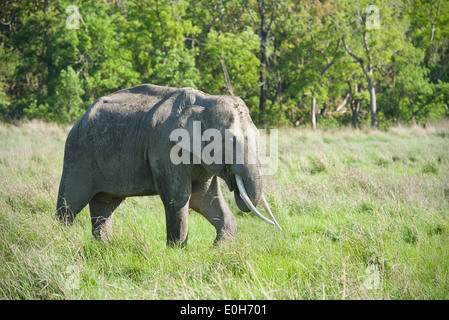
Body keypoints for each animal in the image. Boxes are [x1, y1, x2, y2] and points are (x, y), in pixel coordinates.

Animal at [55, 84, 280, 246]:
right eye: (230, 140)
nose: (234, 180)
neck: (204, 102)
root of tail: (81, 117)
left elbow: (203, 198)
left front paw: (217, 250)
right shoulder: (166, 149)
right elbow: (179, 197)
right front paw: (177, 251)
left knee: (104, 204)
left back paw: (103, 247)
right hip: (78, 157)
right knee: (69, 205)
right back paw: (62, 241)